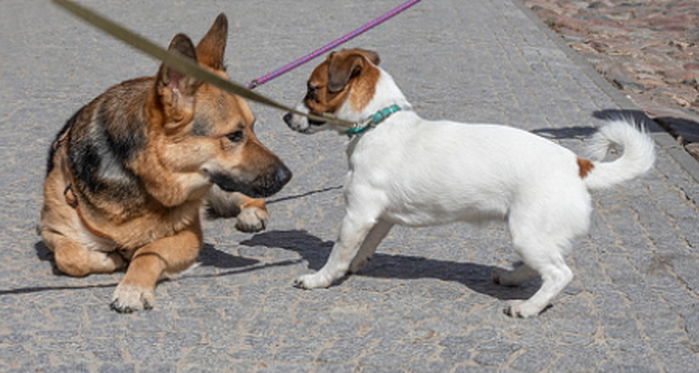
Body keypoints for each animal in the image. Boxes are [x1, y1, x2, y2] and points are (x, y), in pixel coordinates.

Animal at [39, 13, 290, 310]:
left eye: (253, 127)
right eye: (234, 135)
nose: (287, 175)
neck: (140, 182)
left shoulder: (188, 236)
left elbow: (149, 251)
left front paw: (133, 287)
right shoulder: (50, 229)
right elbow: (68, 256)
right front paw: (107, 258)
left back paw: (252, 212)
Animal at [284, 48, 656, 316]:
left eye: (312, 90)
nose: (287, 117)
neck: (379, 124)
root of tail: (579, 166)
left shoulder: (357, 215)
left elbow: (338, 253)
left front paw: (320, 279)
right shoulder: (380, 218)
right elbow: (365, 247)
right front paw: (356, 265)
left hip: (527, 234)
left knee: (559, 274)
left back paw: (528, 308)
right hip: (537, 237)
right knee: (546, 265)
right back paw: (511, 278)